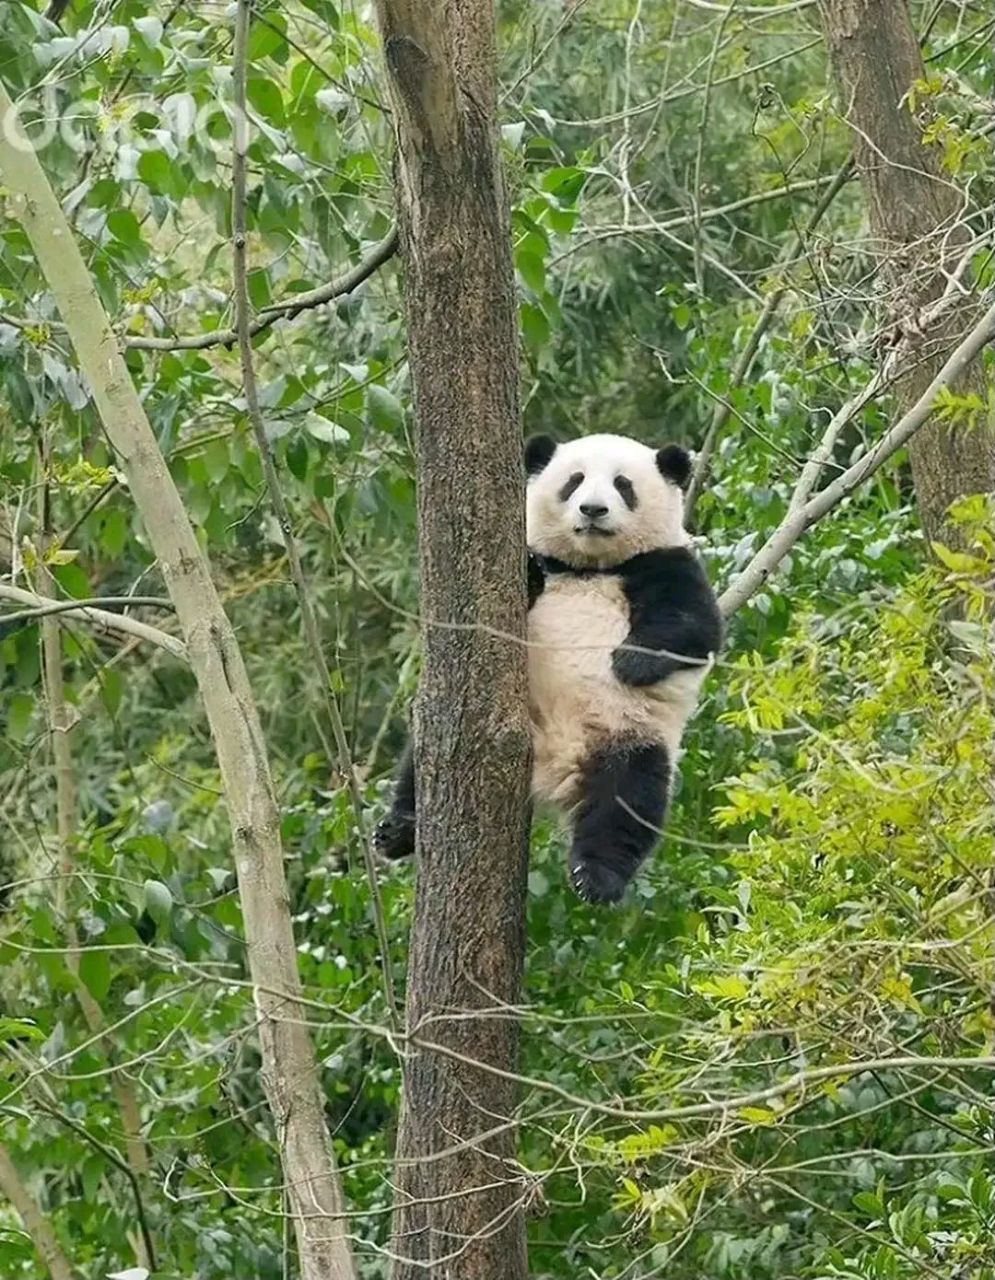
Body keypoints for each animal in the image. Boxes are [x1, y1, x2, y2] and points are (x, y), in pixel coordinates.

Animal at [373, 435, 722, 906]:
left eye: (623, 485)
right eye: (574, 481)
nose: (592, 509)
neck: (588, 567)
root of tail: (556, 765)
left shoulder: (664, 562)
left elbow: (694, 627)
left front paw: (629, 662)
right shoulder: (541, 561)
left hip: (629, 735)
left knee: (627, 803)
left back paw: (596, 877)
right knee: (418, 767)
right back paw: (397, 831)